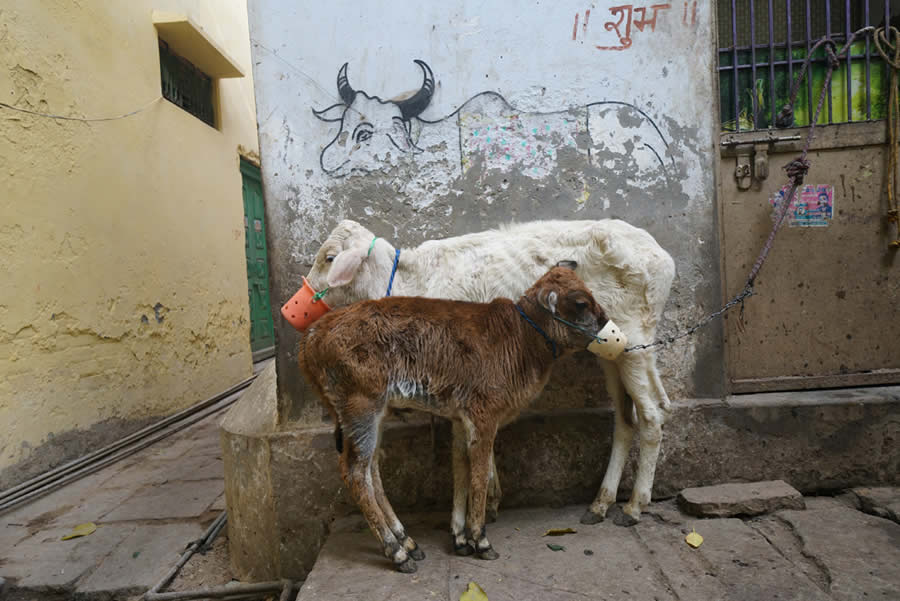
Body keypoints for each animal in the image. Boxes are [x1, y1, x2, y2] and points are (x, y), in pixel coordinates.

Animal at [298, 268, 608, 572]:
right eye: (581, 302)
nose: (606, 320)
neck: (521, 340)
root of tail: (312, 335)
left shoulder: (460, 419)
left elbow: (460, 469)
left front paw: (459, 538)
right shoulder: (484, 416)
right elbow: (480, 475)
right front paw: (480, 540)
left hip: (374, 414)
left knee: (372, 469)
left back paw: (407, 540)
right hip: (361, 407)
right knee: (355, 473)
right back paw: (396, 552)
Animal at [304, 218, 676, 528]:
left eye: (329, 258)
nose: (297, 302)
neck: (408, 279)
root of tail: (663, 257)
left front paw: (476, 512)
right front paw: (489, 501)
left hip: (636, 343)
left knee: (653, 416)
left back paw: (634, 506)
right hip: (612, 351)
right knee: (625, 420)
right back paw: (601, 503)